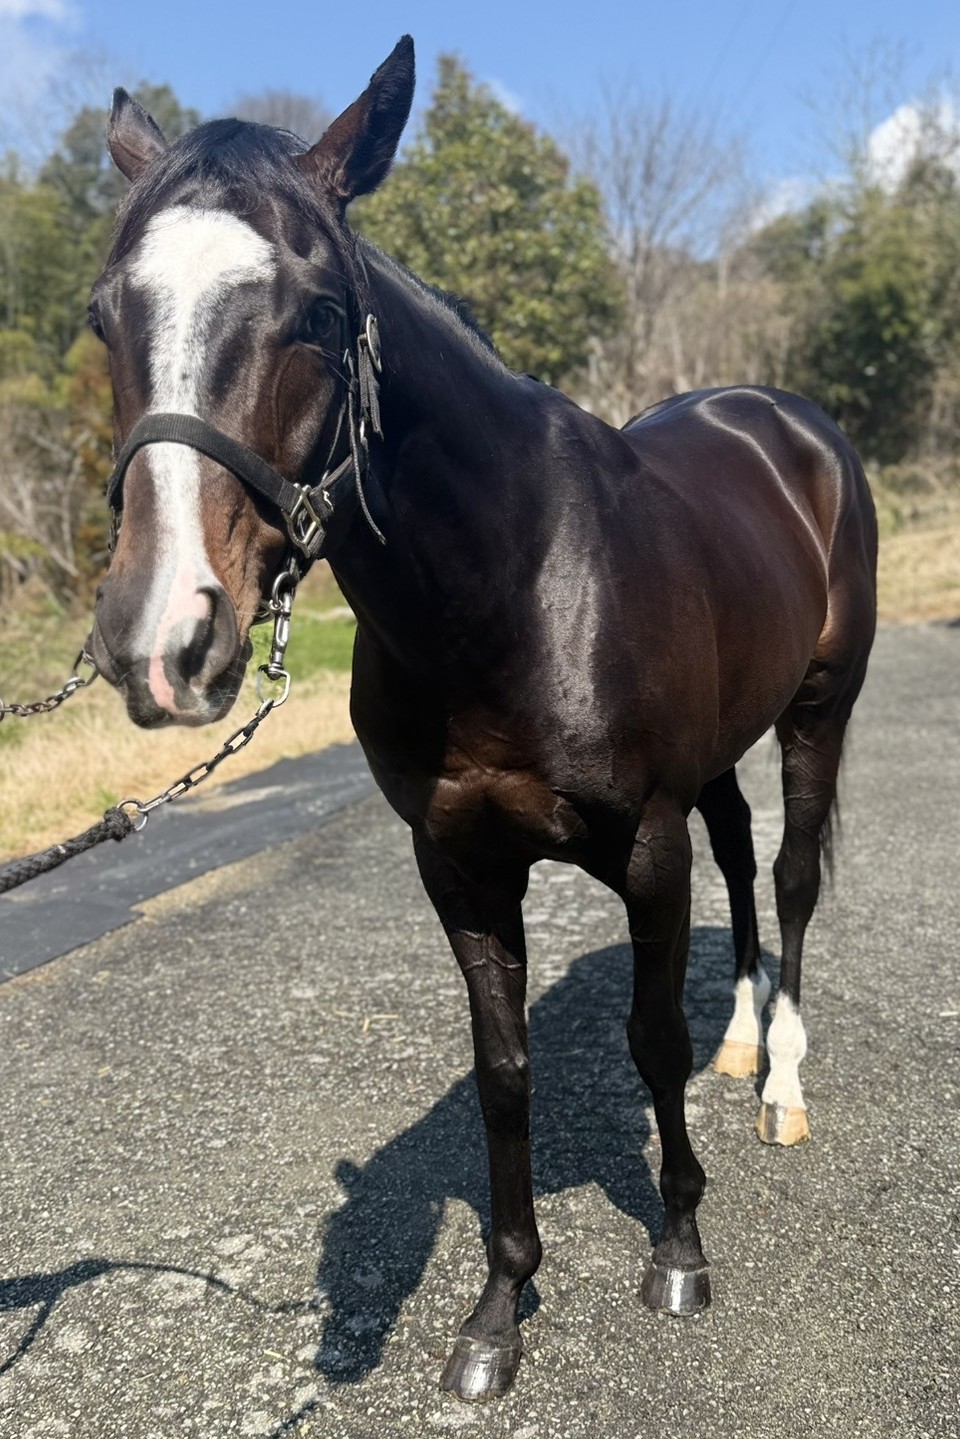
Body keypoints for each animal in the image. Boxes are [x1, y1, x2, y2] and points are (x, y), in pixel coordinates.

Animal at [86, 37, 877, 1402]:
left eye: (316, 311)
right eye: (105, 316)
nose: (161, 641)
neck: (516, 582)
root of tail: (789, 421)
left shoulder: (642, 844)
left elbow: (647, 1036)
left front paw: (679, 1246)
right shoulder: (458, 859)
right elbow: (503, 1072)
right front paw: (499, 1309)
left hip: (818, 712)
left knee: (788, 875)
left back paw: (779, 1081)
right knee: (740, 858)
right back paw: (742, 1046)